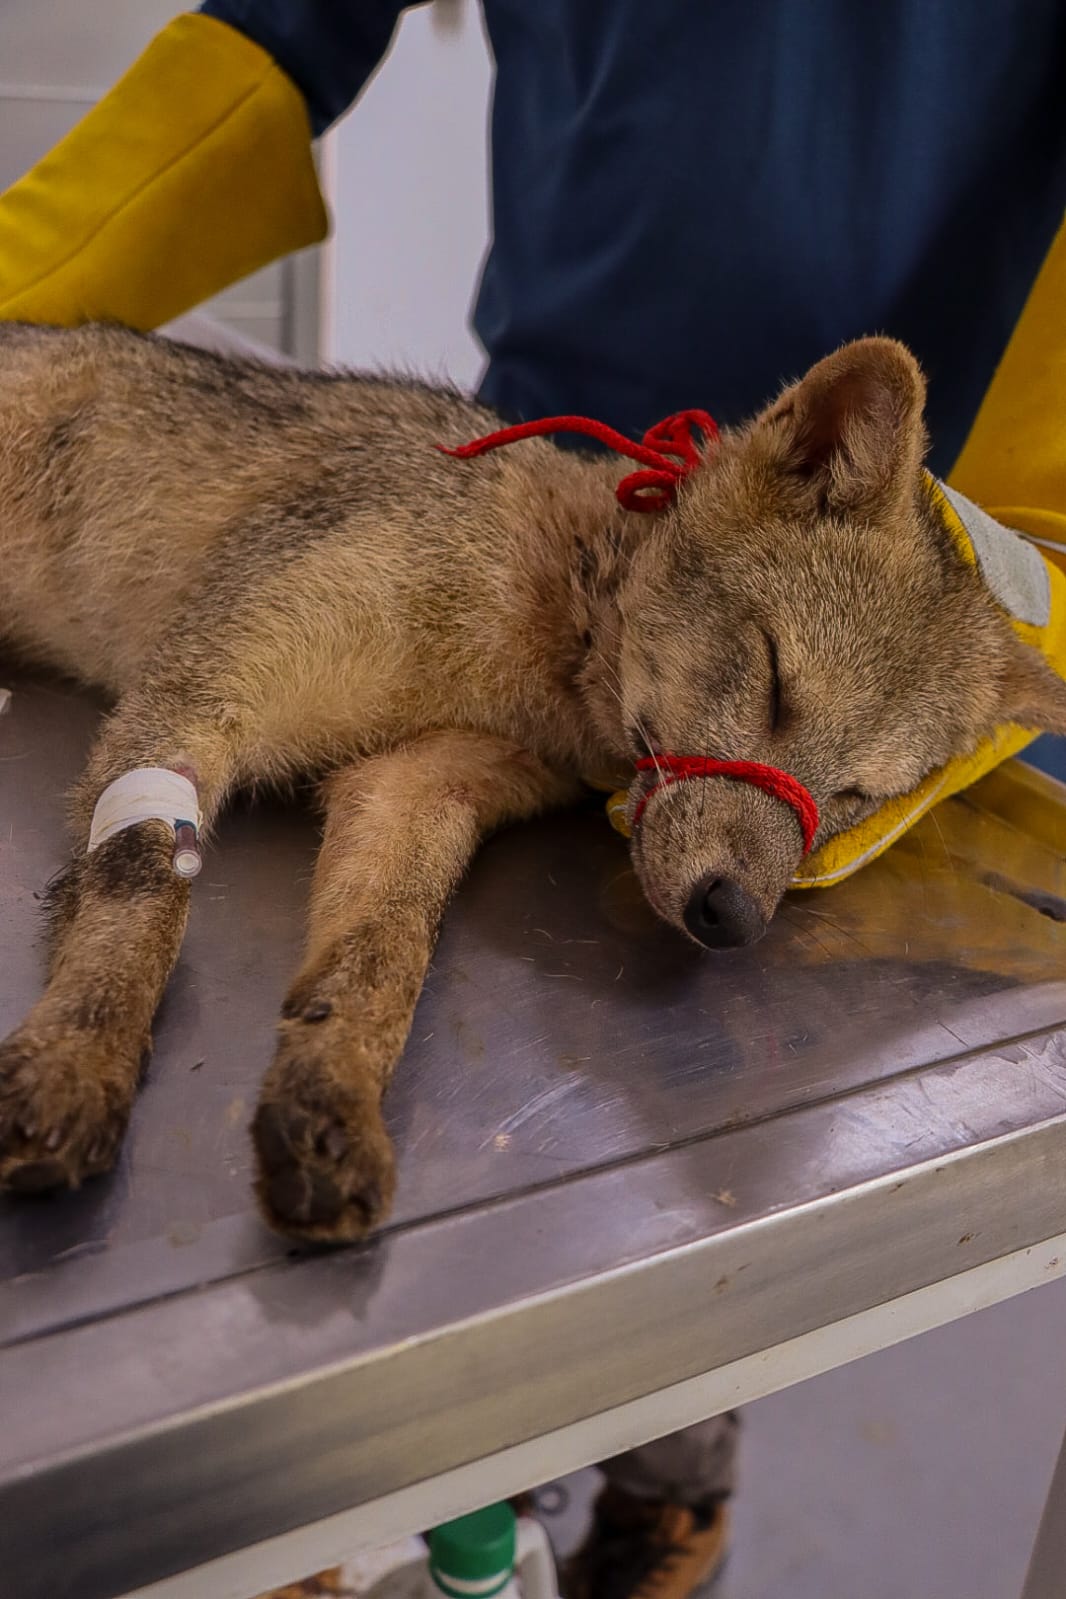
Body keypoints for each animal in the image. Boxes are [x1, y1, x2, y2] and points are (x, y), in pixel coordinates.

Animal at [1, 323, 1064, 1244]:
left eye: (852, 798)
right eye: (775, 685)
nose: (734, 916)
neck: (530, 633)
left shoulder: (411, 785)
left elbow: (384, 959)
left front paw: (329, 1093)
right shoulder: (197, 698)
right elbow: (142, 893)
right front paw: (78, 1056)